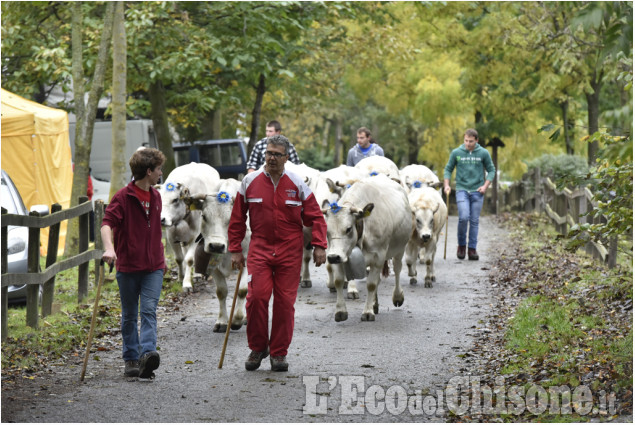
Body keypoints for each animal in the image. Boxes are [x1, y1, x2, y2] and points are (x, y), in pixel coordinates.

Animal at [161, 162, 221, 292]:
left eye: (175, 199)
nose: (162, 219)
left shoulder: (195, 236)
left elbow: (189, 259)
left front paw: (187, 283)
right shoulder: (171, 236)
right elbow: (179, 258)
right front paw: (180, 278)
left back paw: (199, 275)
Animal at [186, 177, 251, 332]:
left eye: (231, 219)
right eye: (204, 216)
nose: (216, 245)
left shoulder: (246, 261)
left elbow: (242, 290)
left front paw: (237, 320)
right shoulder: (212, 265)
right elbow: (221, 291)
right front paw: (222, 322)